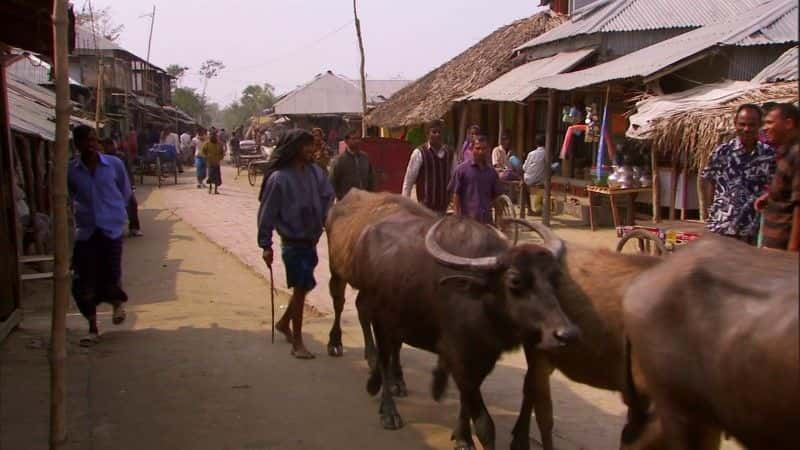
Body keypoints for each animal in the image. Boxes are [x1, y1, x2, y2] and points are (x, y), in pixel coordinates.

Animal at [324, 190, 580, 450]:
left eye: (555, 278)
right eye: (514, 281)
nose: (566, 334)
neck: (482, 305)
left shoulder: (480, 361)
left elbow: (465, 404)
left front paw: (462, 436)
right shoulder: (459, 357)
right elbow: (485, 425)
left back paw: (386, 382)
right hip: (372, 309)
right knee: (369, 336)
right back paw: (385, 405)